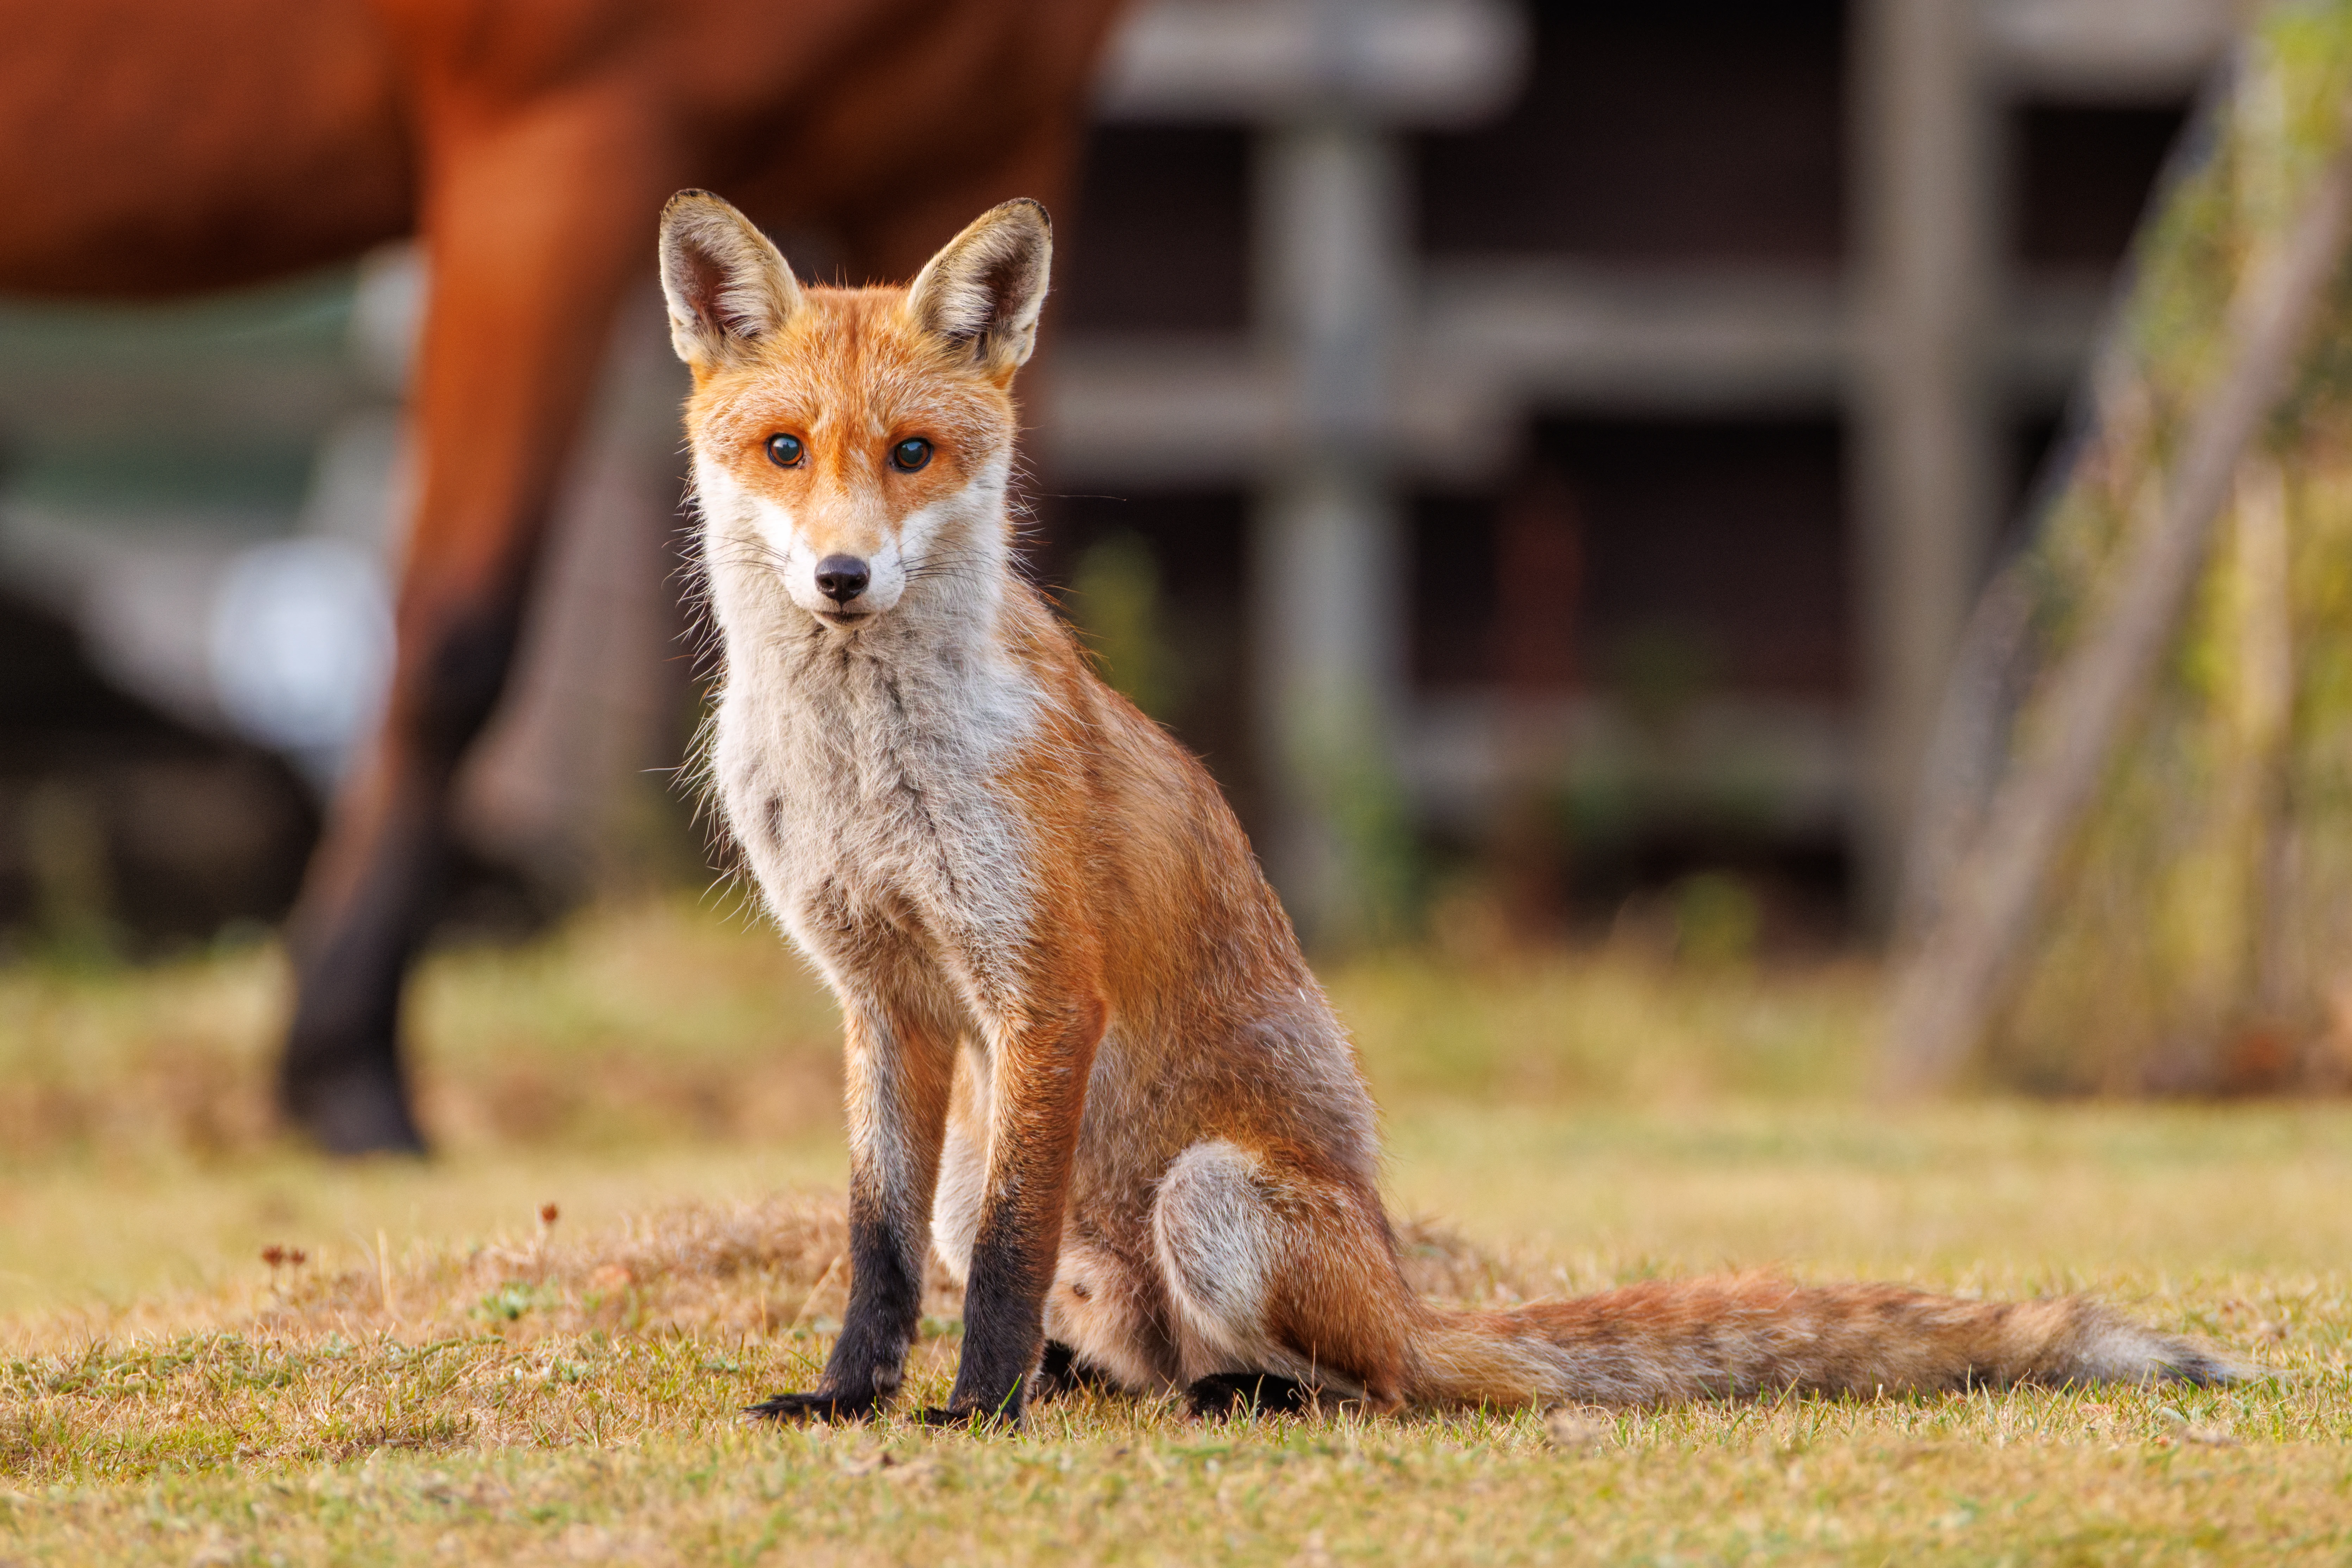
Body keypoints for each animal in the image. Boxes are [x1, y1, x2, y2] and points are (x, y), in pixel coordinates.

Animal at [655, 189, 2242, 1427]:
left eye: (910, 455)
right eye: (786, 450)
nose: (844, 577)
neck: (868, 769)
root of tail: (1411, 1301)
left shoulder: (1042, 987)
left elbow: (996, 1258)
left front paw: (972, 1410)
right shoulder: (886, 998)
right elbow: (877, 1246)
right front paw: (850, 1397)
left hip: (1210, 1200)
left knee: (1368, 1384)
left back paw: (1237, 1392)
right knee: (1136, 1348)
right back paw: (1096, 1381)